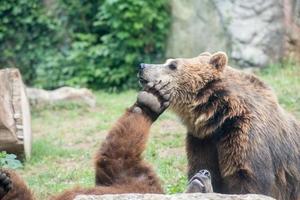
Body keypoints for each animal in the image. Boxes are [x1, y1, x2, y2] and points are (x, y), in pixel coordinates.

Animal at [0, 82, 212, 199]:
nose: (205, 171)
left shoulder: (147, 190)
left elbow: (116, 157)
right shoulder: (138, 183)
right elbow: (119, 158)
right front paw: (152, 99)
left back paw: (3, 184)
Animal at [139, 52, 300, 200]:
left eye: (173, 65)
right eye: (168, 62)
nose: (142, 66)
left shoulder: (245, 136)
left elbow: (249, 181)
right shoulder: (203, 141)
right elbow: (204, 167)